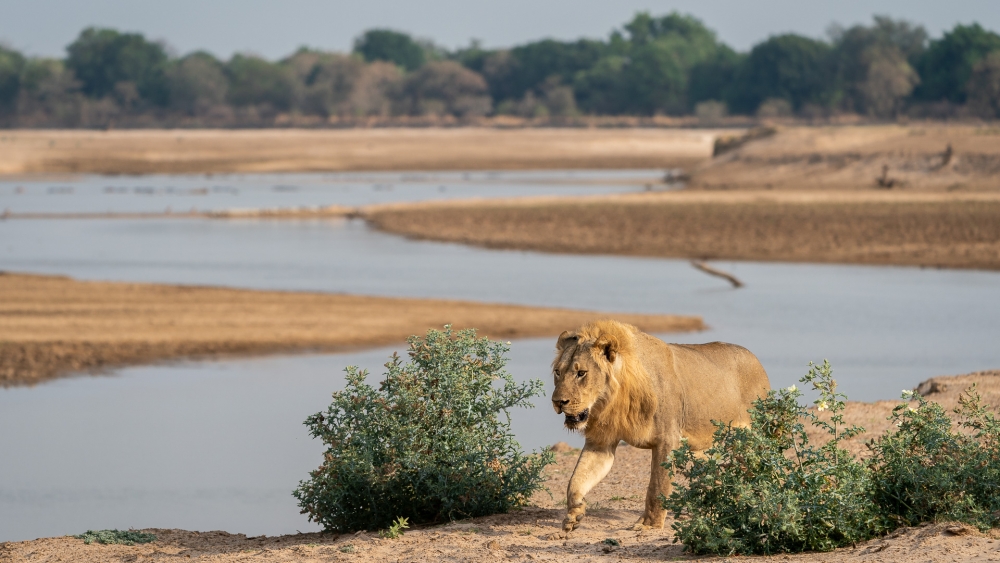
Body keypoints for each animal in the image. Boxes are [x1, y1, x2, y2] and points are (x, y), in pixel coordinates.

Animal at [551, 319, 770, 532]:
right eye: (557, 372)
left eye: (581, 373)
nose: (558, 401)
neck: (614, 400)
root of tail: (757, 361)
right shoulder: (601, 443)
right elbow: (577, 479)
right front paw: (574, 514)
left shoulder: (668, 440)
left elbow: (657, 487)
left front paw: (649, 525)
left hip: (752, 440)